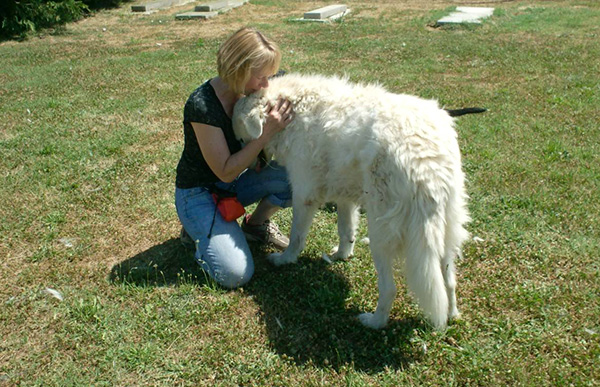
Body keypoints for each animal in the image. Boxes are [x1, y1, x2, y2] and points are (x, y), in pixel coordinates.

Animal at [232, 73, 472, 330]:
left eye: (241, 138)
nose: (245, 167)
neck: (292, 109)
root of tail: (426, 160)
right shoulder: (345, 197)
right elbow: (345, 230)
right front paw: (341, 255)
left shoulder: (304, 195)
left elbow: (297, 237)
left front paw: (285, 259)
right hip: (447, 228)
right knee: (449, 281)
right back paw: (452, 314)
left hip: (380, 231)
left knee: (389, 289)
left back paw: (374, 321)